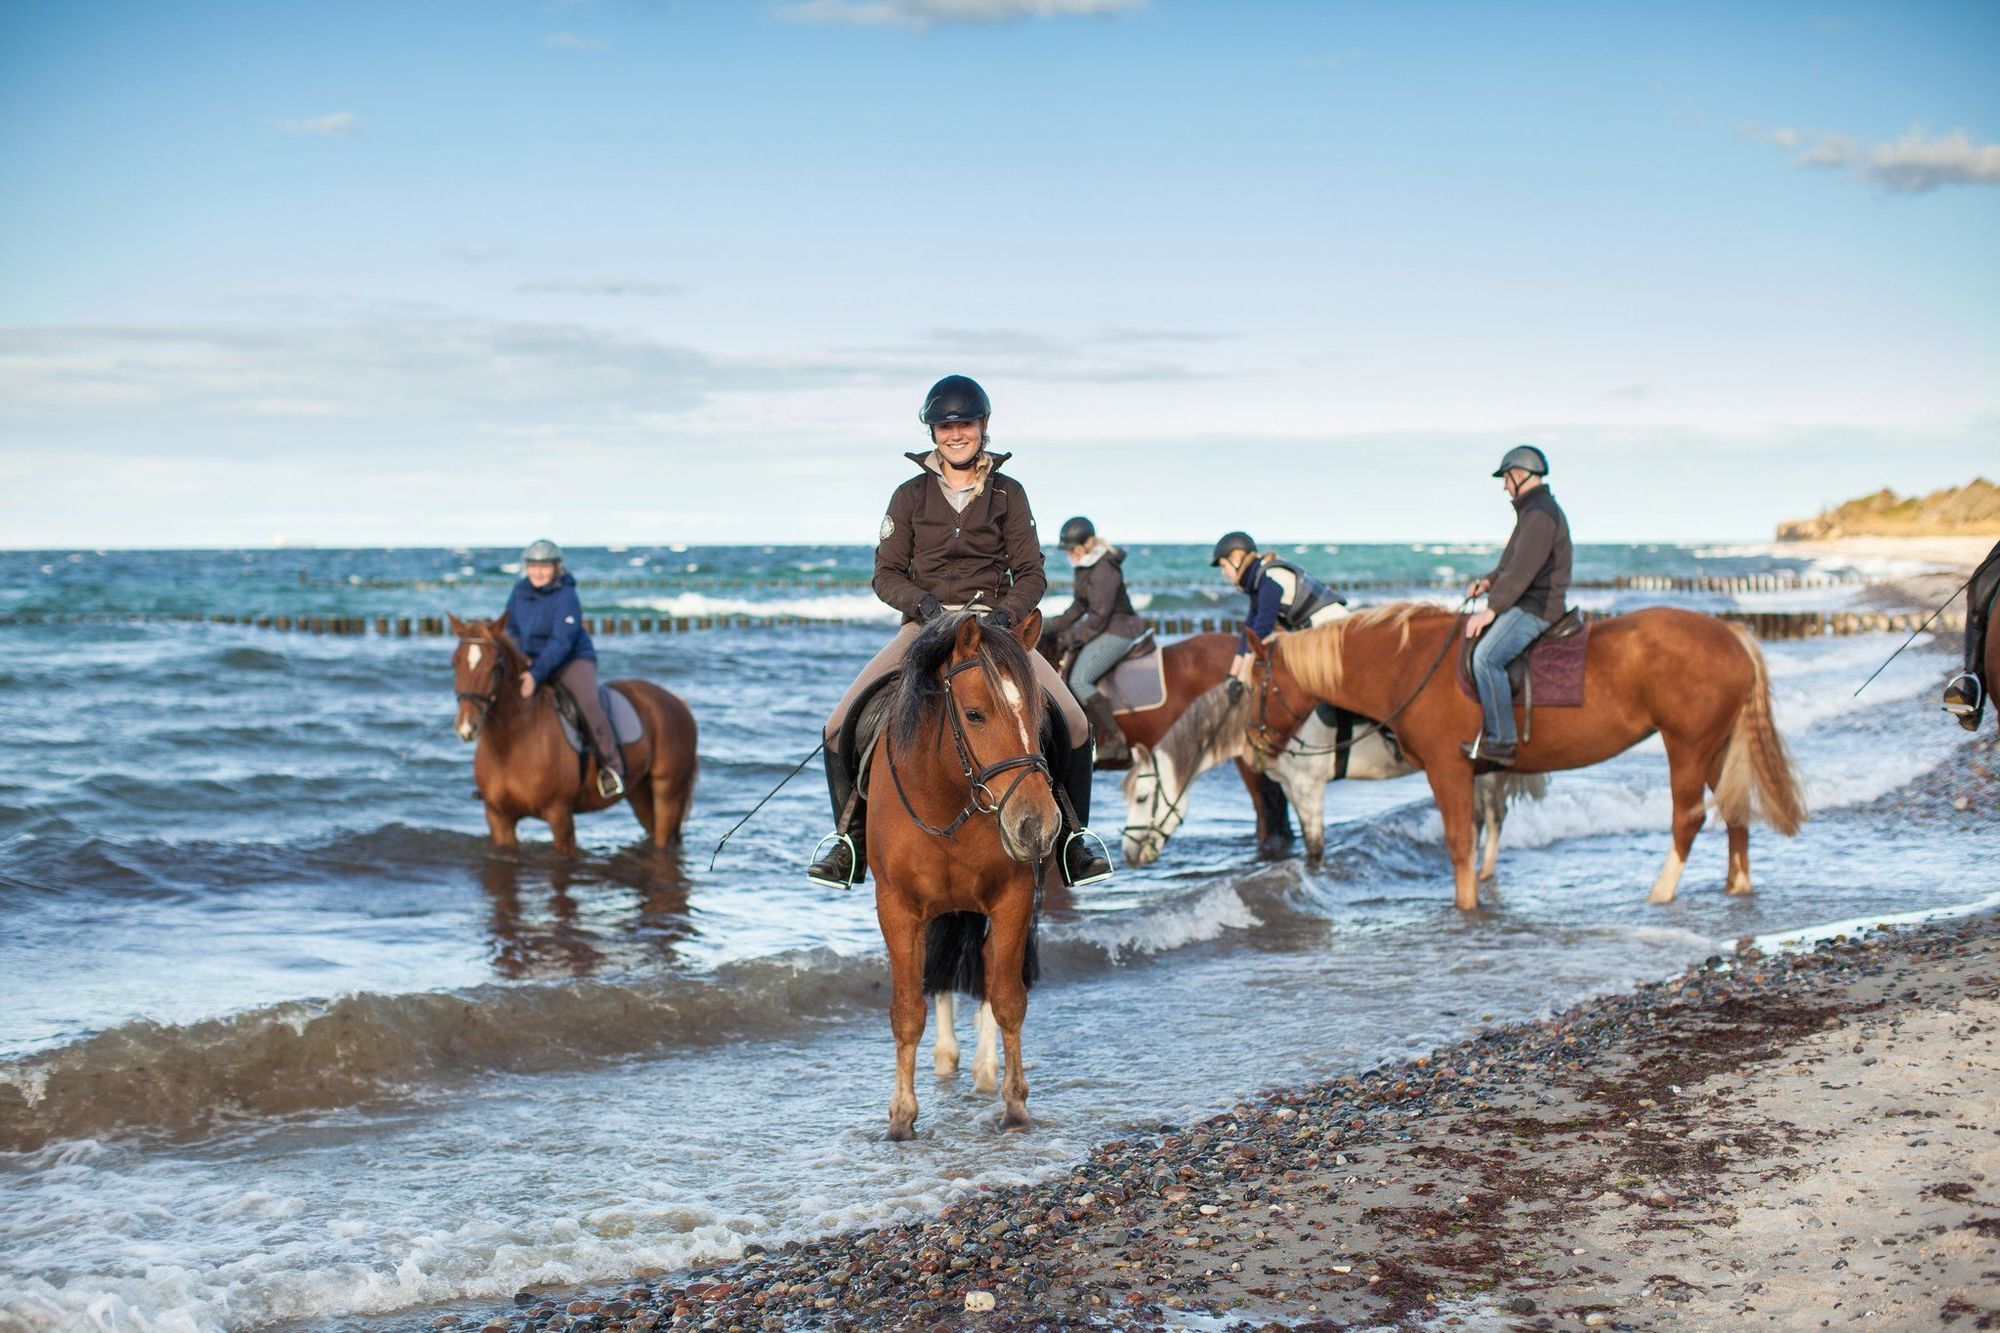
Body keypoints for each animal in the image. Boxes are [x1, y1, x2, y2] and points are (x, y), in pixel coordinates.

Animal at [450, 612, 700, 852]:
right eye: (455, 662)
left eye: (496, 665)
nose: (467, 727)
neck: (511, 743)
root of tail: (677, 702)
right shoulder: (499, 818)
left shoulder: (559, 814)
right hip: (639, 792)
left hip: (667, 792)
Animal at [876, 608, 1064, 1136]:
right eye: (975, 714)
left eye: (1039, 715)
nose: (1036, 824)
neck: (946, 798)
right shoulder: (897, 908)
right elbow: (907, 1009)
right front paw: (901, 1116)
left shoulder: (1012, 899)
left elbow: (1007, 999)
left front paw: (1015, 1105)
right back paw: (947, 1059)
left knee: (984, 971)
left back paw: (983, 1070)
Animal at [1128, 680, 1544, 876]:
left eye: (1142, 797)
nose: (1129, 853)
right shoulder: (1292, 788)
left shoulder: (1308, 788)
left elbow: (1315, 849)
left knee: (1492, 817)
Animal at [1240, 604, 1808, 908]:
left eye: (1254, 685)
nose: (1255, 743)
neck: (1411, 665)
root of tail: (1730, 632)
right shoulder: (1473, 774)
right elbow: (1476, 834)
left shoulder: (1447, 769)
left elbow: (1458, 842)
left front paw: (1465, 906)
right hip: (1715, 746)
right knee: (1734, 809)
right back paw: (1736, 885)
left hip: (1686, 745)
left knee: (1688, 817)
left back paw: (1661, 892)